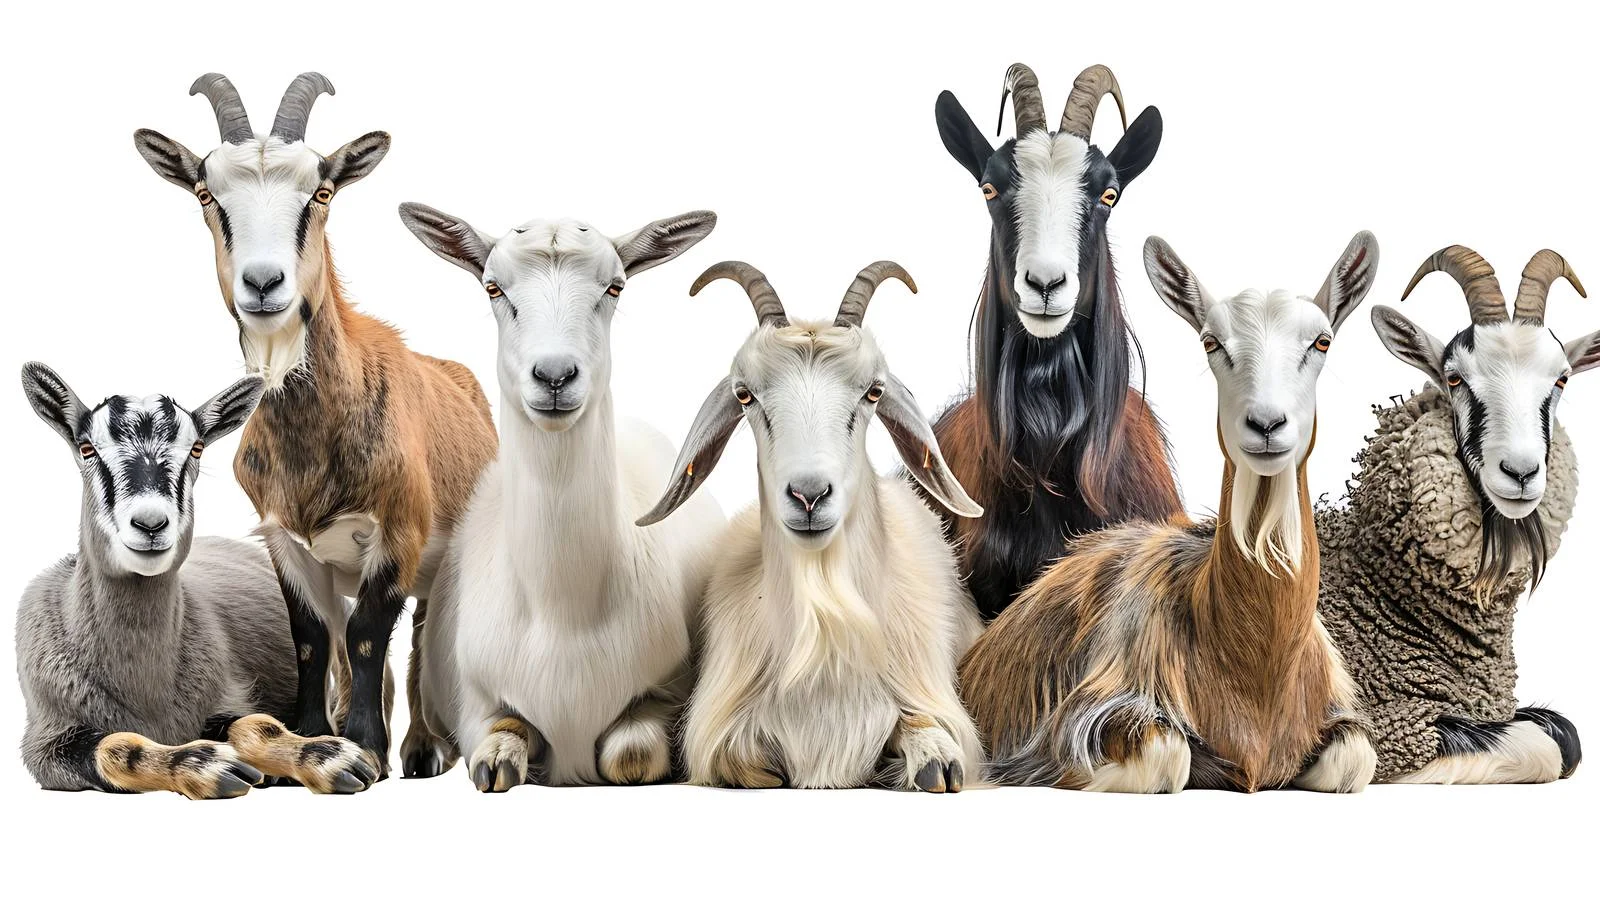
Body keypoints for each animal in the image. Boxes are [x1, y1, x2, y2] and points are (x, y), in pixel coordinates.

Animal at [18, 363, 378, 797]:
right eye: (86, 448)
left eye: (197, 449)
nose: (150, 524)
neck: (146, 696)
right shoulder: (45, 747)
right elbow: (117, 746)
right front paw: (210, 766)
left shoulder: (229, 699)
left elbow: (256, 725)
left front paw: (331, 757)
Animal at [133, 74, 498, 779]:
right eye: (206, 193)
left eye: (321, 192)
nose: (264, 283)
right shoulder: (288, 541)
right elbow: (311, 637)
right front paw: (307, 737)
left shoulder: (398, 534)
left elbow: (367, 636)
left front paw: (367, 747)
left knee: (418, 636)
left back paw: (420, 750)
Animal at [398, 202, 720, 789]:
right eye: (493, 287)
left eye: (615, 287)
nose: (553, 375)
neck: (563, 612)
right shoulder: (476, 703)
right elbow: (497, 746)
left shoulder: (669, 691)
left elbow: (629, 755)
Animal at [639, 262, 985, 791]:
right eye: (745, 395)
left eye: (873, 391)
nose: (809, 496)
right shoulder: (721, 728)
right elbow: (742, 757)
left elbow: (922, 729)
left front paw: (931, 758)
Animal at [1320, 247, 1597, 783]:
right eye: (1455, 377)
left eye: (1561, 378)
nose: (1520, 472)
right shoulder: (1398, 722)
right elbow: (1542, 748)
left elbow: (1566, 734)